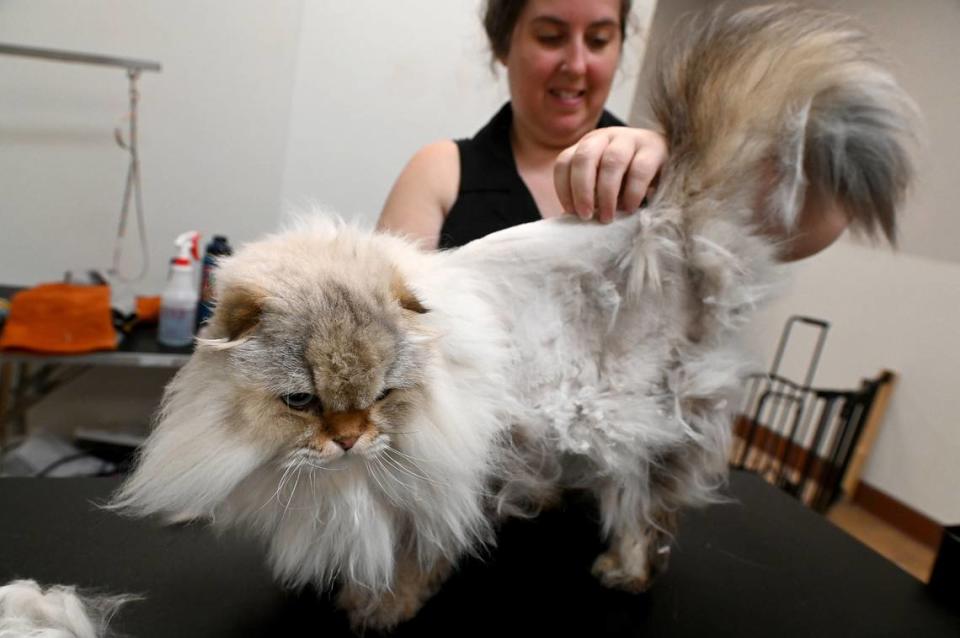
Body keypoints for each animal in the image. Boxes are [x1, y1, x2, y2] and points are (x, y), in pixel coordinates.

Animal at [109, 5, 912, 632]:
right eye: (300, 402)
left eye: (383, 397)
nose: (349, 440)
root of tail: (667, 221)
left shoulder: (440, 486)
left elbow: (413, 561)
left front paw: (377, 609)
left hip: (628, 422)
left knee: (647, 512)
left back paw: (622, 571)